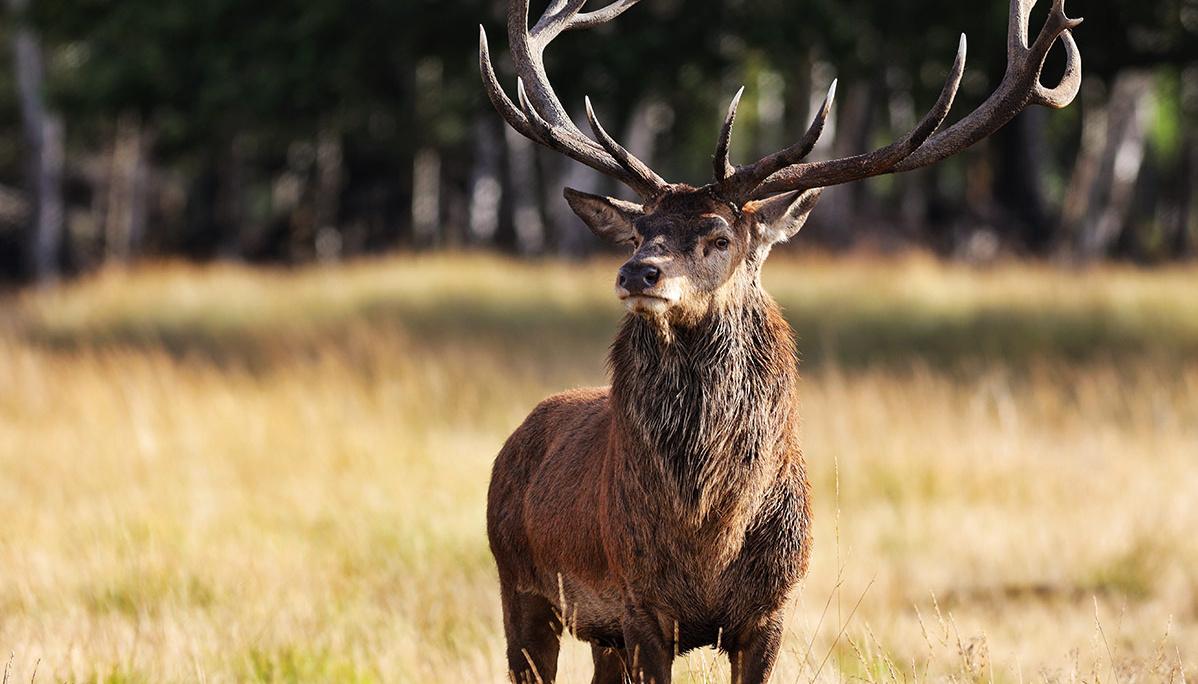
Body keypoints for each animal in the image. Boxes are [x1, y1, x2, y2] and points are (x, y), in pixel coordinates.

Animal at [479, 2, 1087, 680]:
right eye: (639, 231)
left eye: (720, 237)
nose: (638, 272)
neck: (707, 537)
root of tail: (518, 435)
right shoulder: (639, 607)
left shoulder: (771, 610)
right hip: (519, 585)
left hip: (593, 628)